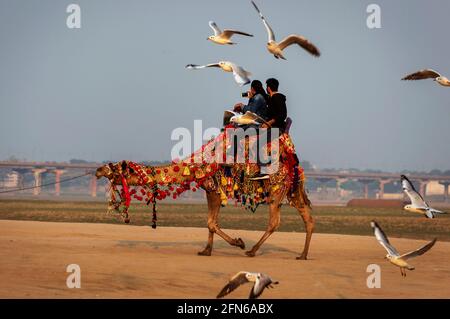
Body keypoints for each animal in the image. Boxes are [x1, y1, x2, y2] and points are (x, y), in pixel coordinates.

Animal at [96, 129, 312, 260]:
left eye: (117, 170)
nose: (98, 170)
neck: (195, 166)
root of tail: (294, 164)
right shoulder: (210, 190)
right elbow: (211, 222)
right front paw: (206, 251)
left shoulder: (214, 188)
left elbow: (211, 223)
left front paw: (239, 242)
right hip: (293, 190)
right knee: (308, 217)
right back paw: (302, 255)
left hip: (276, 190)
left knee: (274, 222)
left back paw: (252, 251)